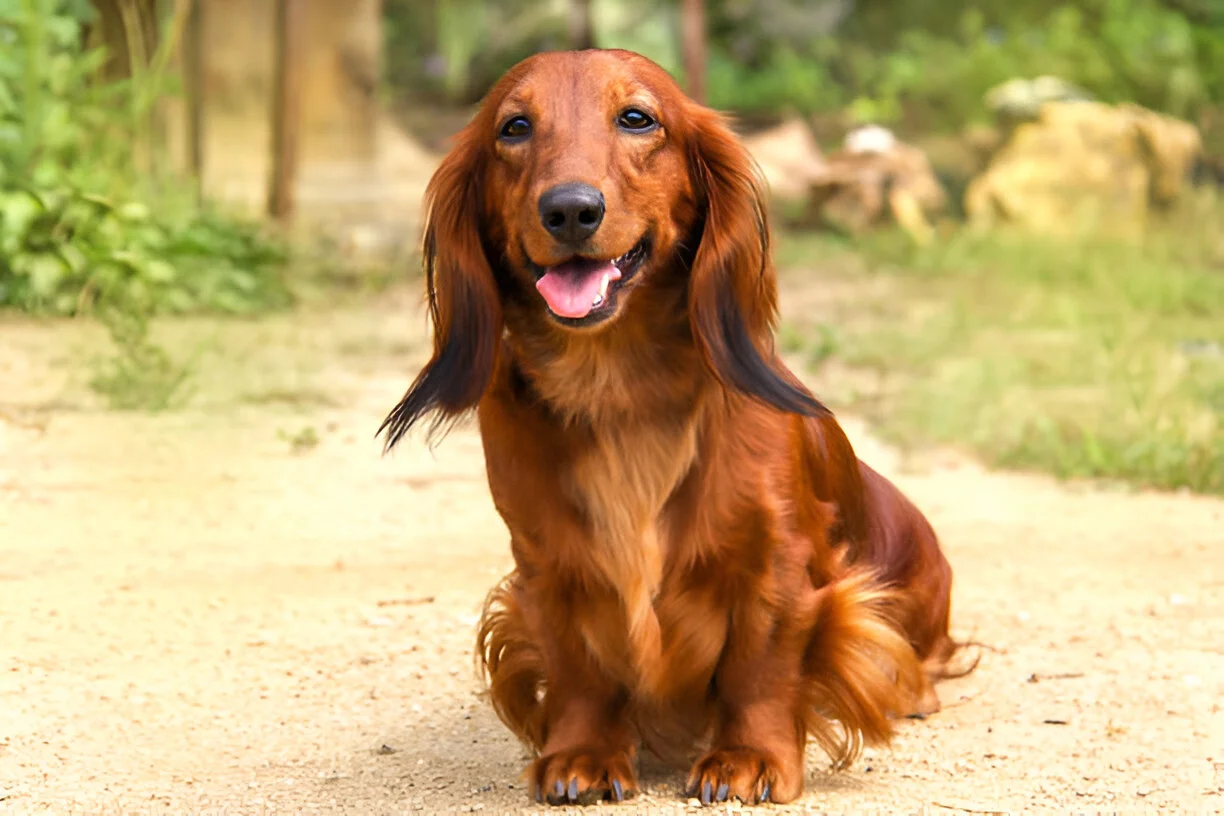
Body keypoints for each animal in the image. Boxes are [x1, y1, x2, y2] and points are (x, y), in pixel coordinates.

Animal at [381, 48, 964, 807]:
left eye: (637, 118)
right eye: (514, 127)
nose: (570, 209)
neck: (617, 388)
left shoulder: (777, 560)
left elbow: (762, 664)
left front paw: (748, 757)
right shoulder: (544, 565)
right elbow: (577, 665)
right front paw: (581, 753)